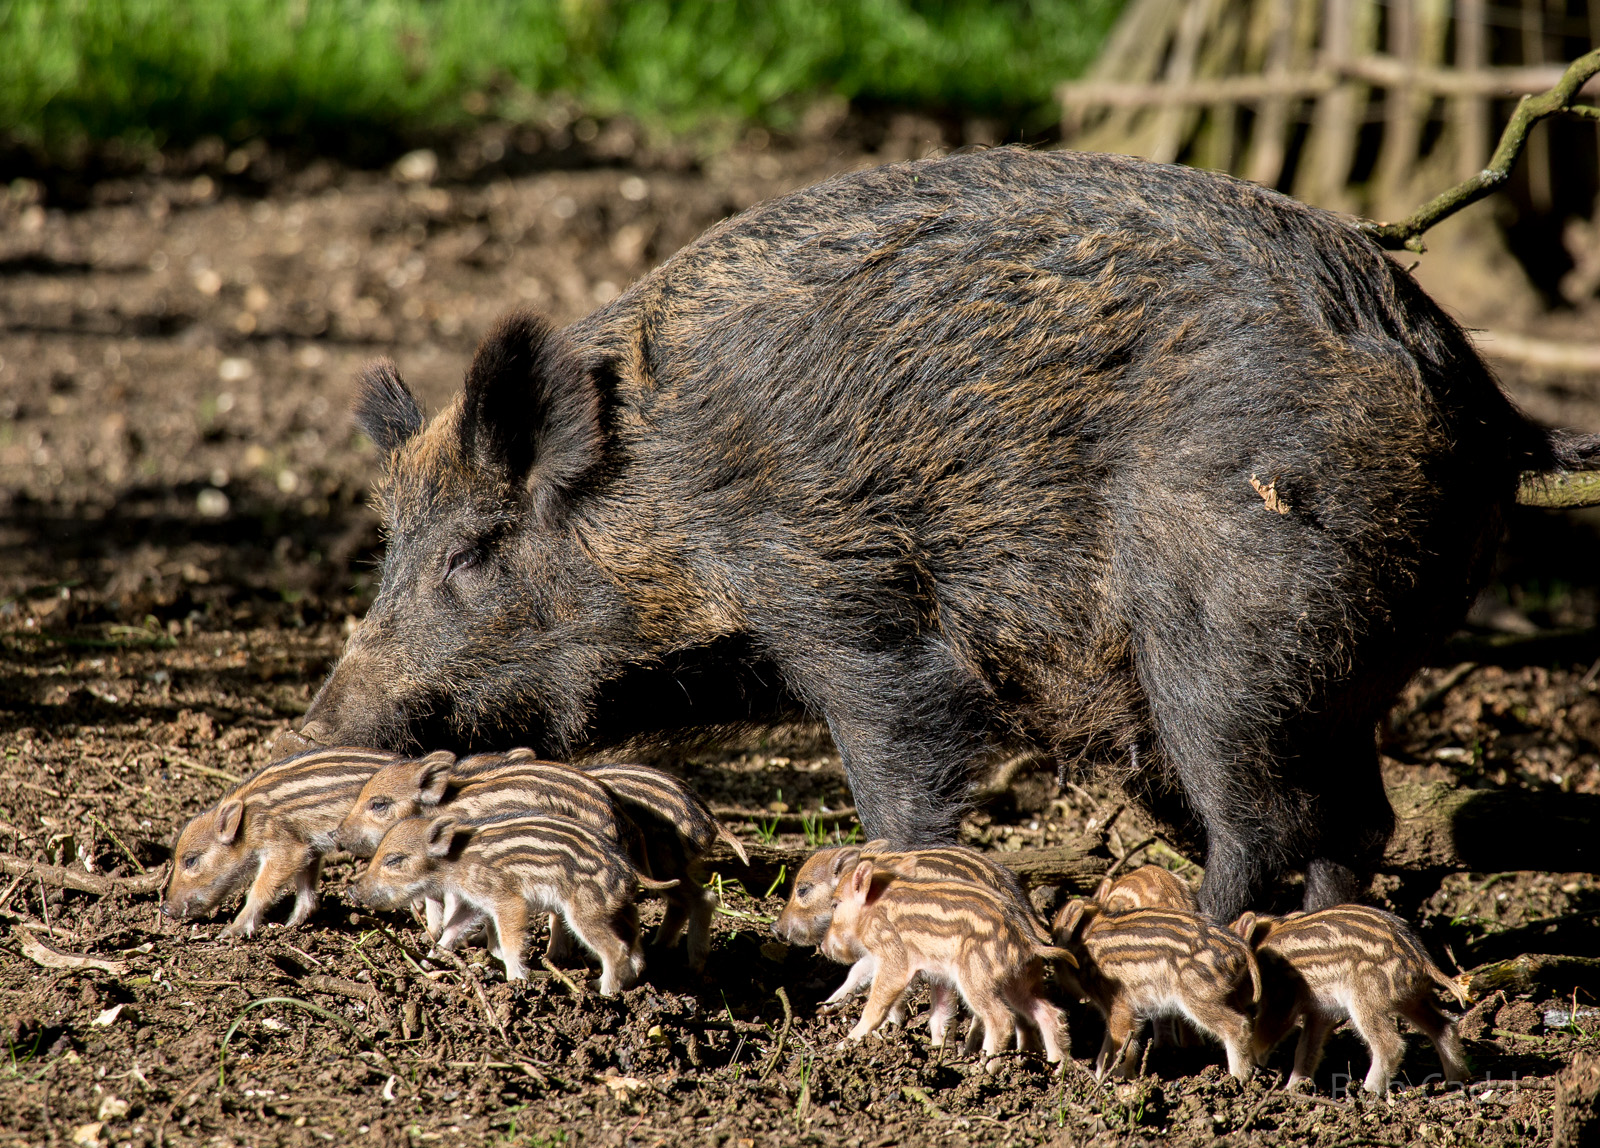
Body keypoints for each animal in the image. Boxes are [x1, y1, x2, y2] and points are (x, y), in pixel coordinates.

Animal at [162, 746, 400, 937]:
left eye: (191, 861)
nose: (164, 908)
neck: (248, 824)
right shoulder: (309, 847)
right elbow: (305, 886)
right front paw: (291, 925)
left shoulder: (286, 847)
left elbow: (259, 889)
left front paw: (230, 932)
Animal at [290, 145, 1600, 924]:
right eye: (390, 542)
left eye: (472, 548)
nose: (320, 718)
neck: (666, 496)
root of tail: (1490, 415)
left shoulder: (845, 589)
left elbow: (901, 755)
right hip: (1334, 670)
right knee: (1357, 817)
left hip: (1225, 626)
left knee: (1260, 817)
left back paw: (1180, 928)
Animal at [823, 861, 1072, 1060]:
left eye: (835, 904)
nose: (823, 947)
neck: (872, 910)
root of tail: (1028, 941)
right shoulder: (937, 975)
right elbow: (939, 1016)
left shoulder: (894, 958)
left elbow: (876, 1005)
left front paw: (843, 1045)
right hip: (1019, 980)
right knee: (1049, 1013)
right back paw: (1057, 1068)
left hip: (976, 977)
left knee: (1001, 1019)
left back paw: (983, 1069)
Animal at [1232, 904, 1470, 1093]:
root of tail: (1421, 959)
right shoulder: (1320, 1011)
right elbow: (1307, 1050)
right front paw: (1293, 1090)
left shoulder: (1280, 999)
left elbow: (1265, 1034)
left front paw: (1257, 1063)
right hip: (1411, 1000)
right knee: (1443, 1026)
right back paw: (1456, 1081)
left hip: (1365, 1000)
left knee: (1390, 1045)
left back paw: (1368, 1091)